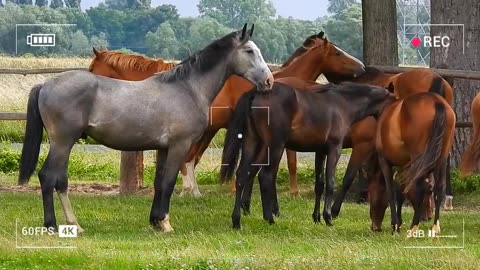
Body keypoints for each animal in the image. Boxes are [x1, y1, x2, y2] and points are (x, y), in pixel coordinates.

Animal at [17, 24, 274, 233]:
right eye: (249, 51)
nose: (269, 81)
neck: (187, 88)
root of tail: (45, 85)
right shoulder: (179, 146)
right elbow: (169, 182)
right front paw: (166, 223)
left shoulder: (163, 148)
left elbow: (159, 183)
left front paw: (155, 222)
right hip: (63, 142)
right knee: (50, 177)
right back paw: (55, 224)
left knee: (57, 179)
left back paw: (72, 224)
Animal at [220, 81, 394, 228]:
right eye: (395, 102)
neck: (342, 104)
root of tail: (256, 93)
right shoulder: (334, 149)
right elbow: (330, 183)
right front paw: (328, 218)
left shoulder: (320, 151)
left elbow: (320, 184)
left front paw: (316, 217)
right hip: (274, 146)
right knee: (265, 176)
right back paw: (269, 218)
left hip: (253, 142)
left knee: (242, 174)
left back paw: (236, 221)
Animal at [376, 89, 454, 235]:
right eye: (430, 191)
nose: (428, 216)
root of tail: (437, 102)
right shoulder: (404, 165)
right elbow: (401, 190)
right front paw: (398, 223)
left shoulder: (385, 161)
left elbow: (392, 190)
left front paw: (395, 225)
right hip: (440, 159)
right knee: (440, 187)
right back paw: (435, 228)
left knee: (419, 186)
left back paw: (413, 228)